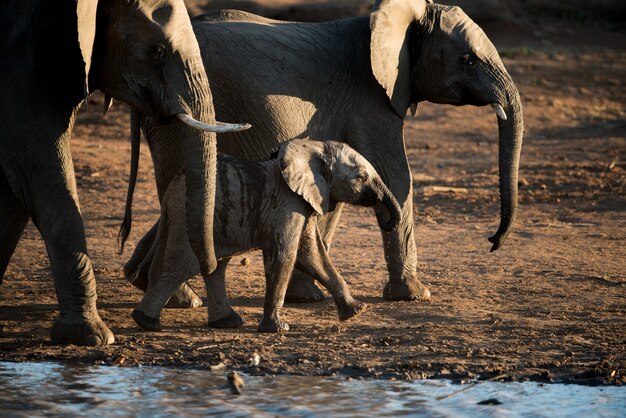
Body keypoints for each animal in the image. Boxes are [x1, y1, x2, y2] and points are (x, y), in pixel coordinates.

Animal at [0, 0, 249, 346]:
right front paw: (90, 335)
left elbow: (13, 188)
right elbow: (36, 169)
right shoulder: (25, 63)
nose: (217, 261)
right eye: (157, 51)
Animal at [134, 139, 402, 332]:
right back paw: (146, 322)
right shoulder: (287, 203)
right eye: (361, 177)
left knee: (215, 267)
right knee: (181, 266)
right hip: (187, 219)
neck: (313, 147)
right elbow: (286, 255)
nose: (386, 220)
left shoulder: (303, 203)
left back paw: (227, 323)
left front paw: (357, 311)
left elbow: (312, 255)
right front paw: (279, 328)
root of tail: (170, 193)